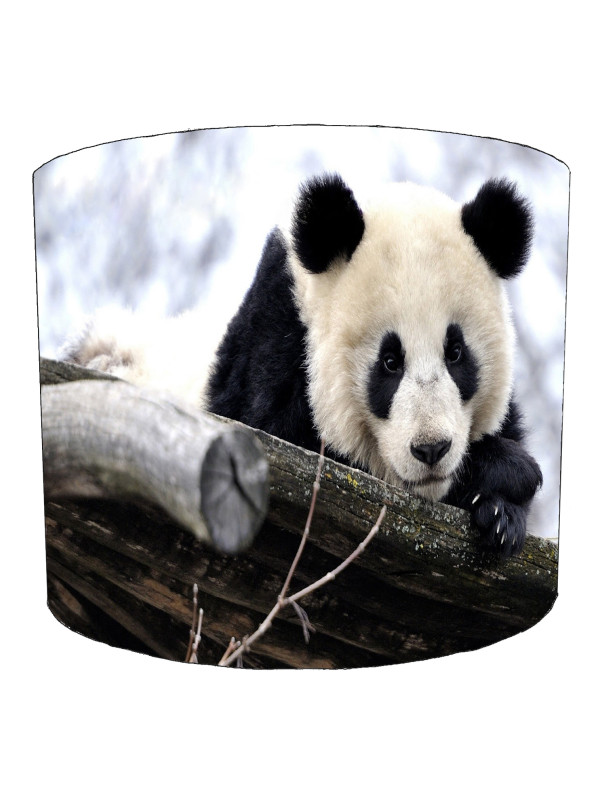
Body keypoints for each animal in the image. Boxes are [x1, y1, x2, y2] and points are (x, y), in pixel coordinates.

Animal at [64, 173, 542, 556]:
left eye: (456, 353)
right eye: (389, 362)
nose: (431, 449)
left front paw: (501, 515)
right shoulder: (272, 343)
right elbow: (281, 435)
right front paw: (506, 470)